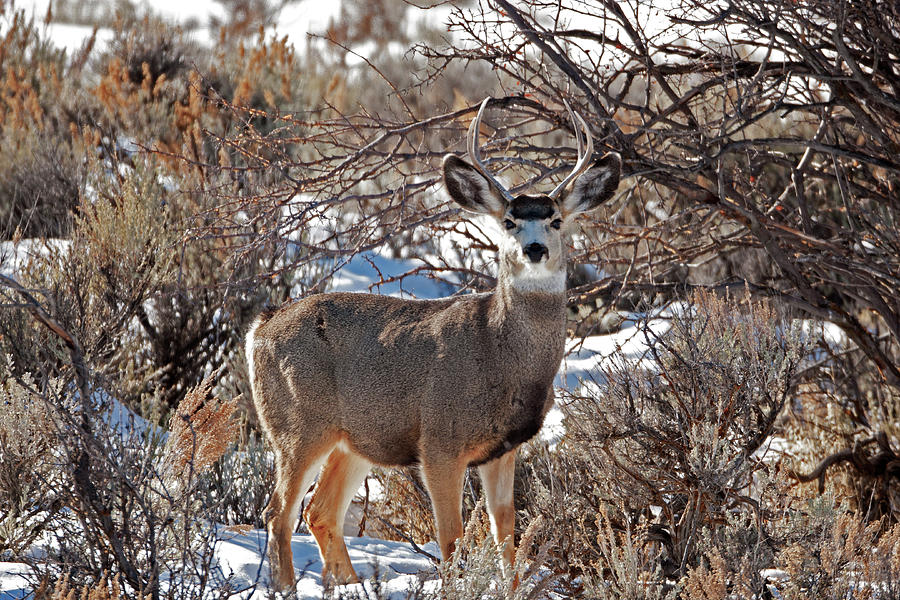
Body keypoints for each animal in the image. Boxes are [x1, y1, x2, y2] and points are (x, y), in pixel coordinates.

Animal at [248, 98, 624, 592]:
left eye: (556, 220)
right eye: (509, 222)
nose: (535, 249)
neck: (497, 354)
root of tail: (260, 326)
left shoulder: (504, 449)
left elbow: (507, 533)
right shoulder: (439, 441)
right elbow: (452, 539)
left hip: (355, 440)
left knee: (320, 511)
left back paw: (351, 585)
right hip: (297, 425)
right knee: (278, 513)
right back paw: (289, 587)